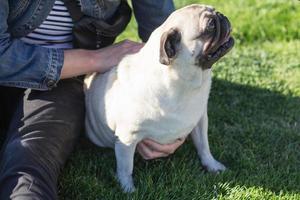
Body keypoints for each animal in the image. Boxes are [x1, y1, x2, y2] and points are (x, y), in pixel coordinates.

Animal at [84, 4, 234, 192]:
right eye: (210, 26)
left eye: (216, 12)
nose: (222, 16)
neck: (183, 85)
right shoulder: (127, 138)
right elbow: (126, 168)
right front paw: (128, 189)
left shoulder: (199, 120)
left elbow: (204, 147)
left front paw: (211, 165)